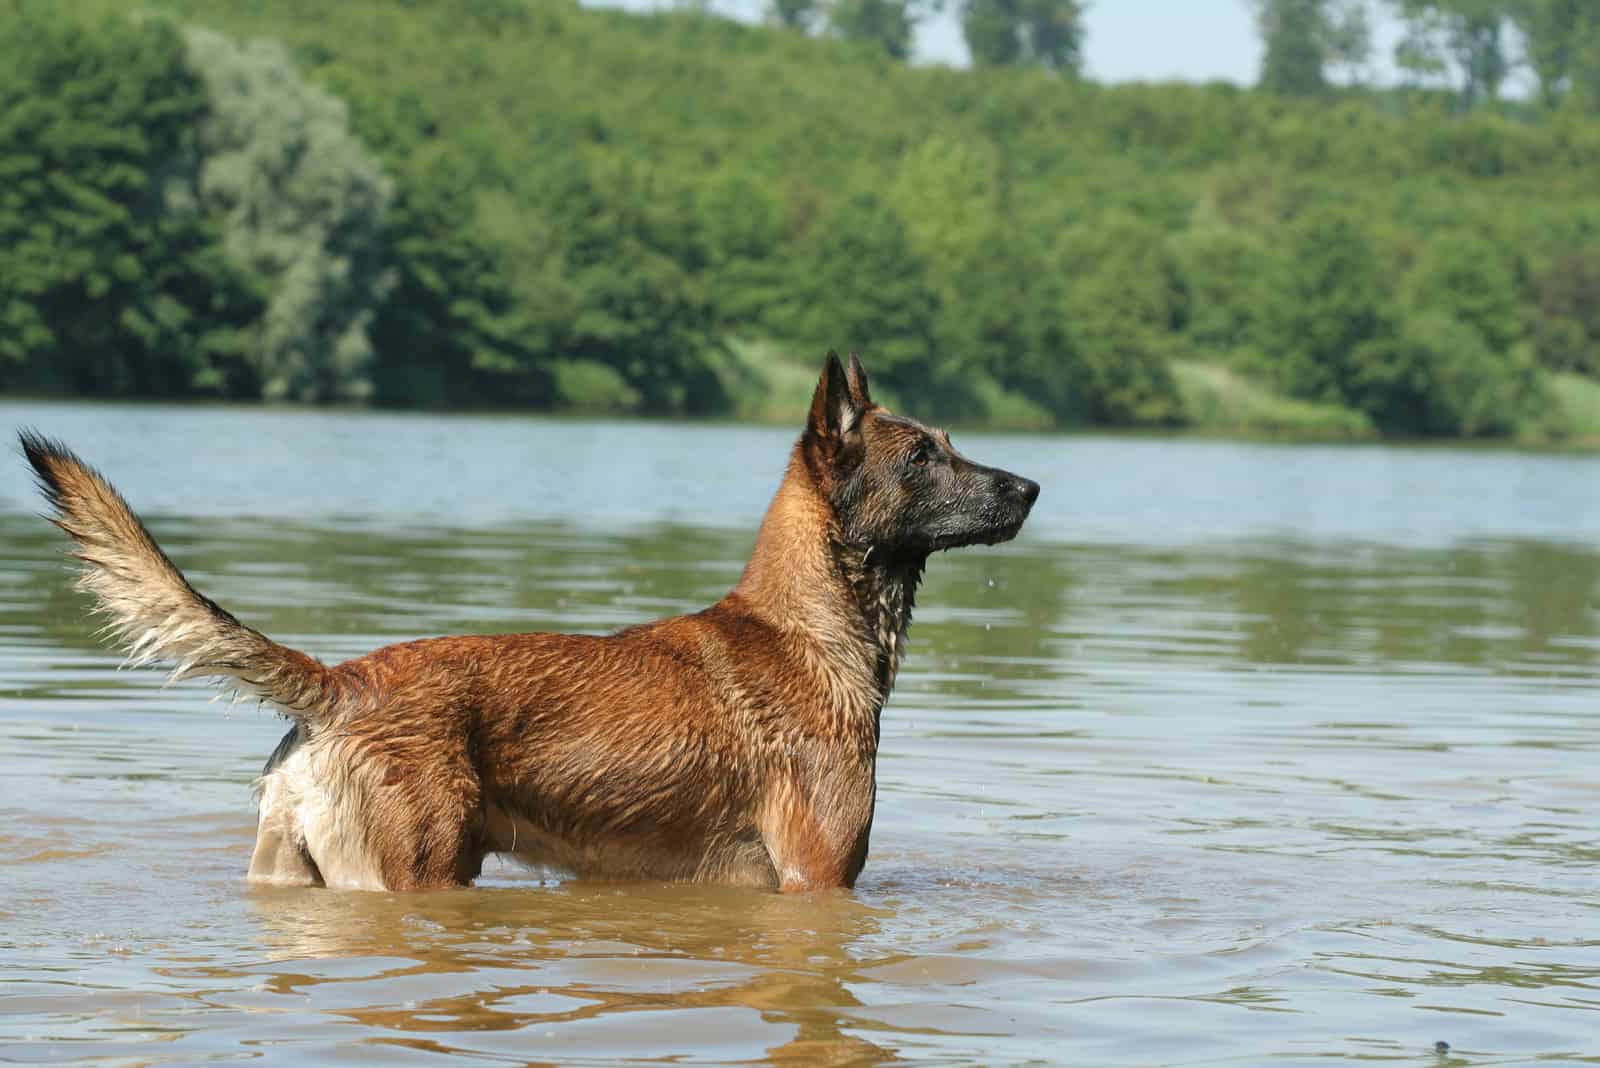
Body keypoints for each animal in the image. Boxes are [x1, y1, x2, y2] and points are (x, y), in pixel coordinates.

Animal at [28, 351, 1049, 895]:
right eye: (921, 458)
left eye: (951, 445)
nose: (1032, 487)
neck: (809, 629)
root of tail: (342, 684)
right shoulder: (815, 882)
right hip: (417, 878)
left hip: (294, 875)